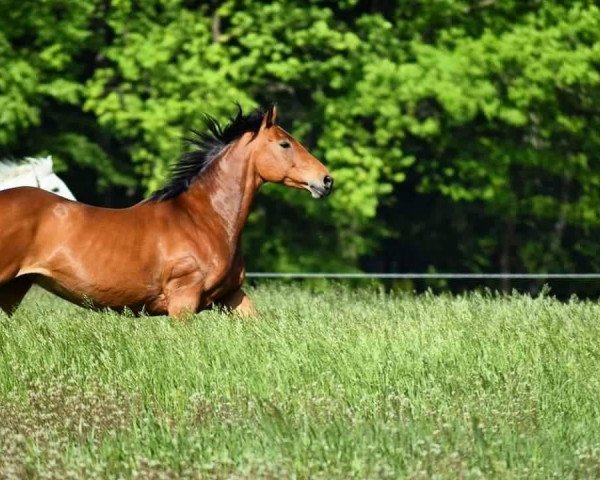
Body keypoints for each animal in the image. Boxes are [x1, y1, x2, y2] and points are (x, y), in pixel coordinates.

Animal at [0, 105, 332, 316]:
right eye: (285, 144)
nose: (326, 180)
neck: (205, 221)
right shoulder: (182, 302)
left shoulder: (231, 295)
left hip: (14, 290)